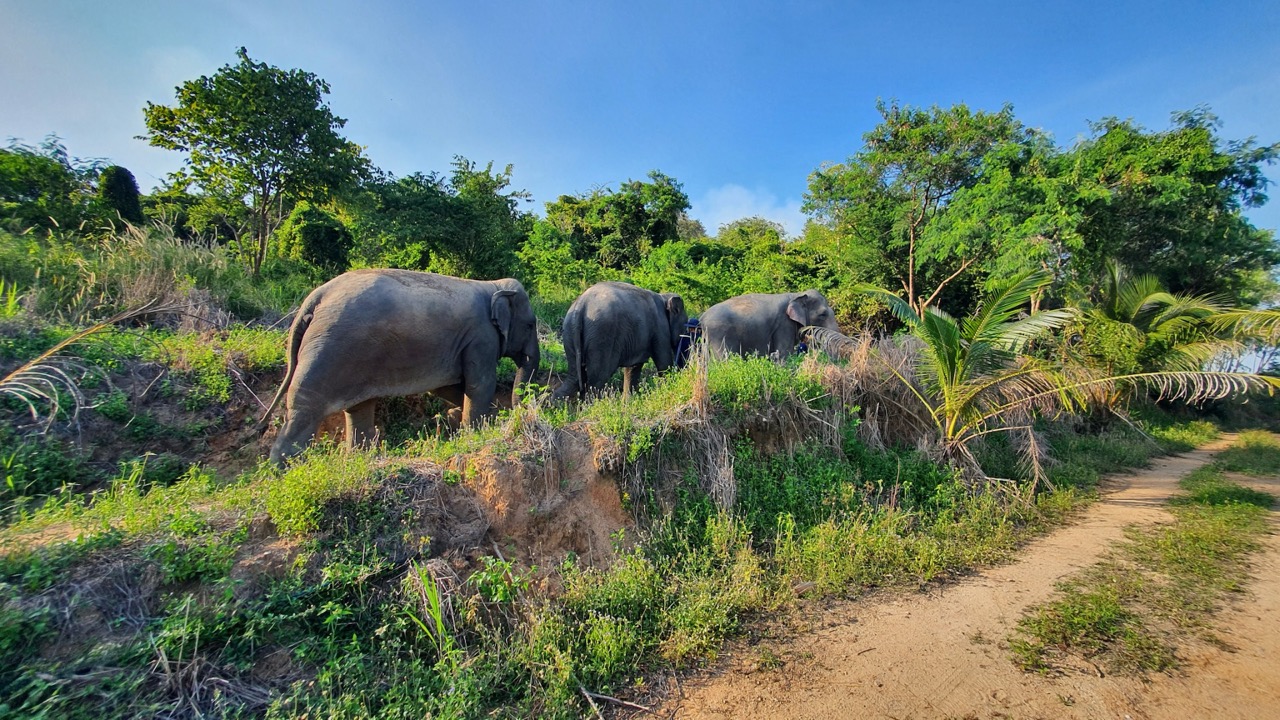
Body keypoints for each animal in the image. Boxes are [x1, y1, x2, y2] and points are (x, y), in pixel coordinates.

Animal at [259, 269, 540, 465]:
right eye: (530, 325)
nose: (518, 413)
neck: (493, 285)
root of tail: (316, 297)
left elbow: (448, 386)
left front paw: (469, 417)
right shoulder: (481, 337)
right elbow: (478, 384)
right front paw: (479, 428)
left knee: (358, 407)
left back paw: (359, 458)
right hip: (329, 350)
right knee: (306, 405)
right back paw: (283, 470)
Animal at [551, 281, 687, 400]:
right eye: (686, 328)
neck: (664, 297)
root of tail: (581, 305)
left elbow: (633, 368)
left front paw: (627, 403)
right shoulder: (660, 329)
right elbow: (664, 363)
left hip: (570, 332)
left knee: (574, 377)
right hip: (602, 336)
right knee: (598, 379)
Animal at [698, 289, 839, 359]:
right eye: (823, 314)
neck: (796, 294)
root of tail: (702, 317)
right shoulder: (784, 324)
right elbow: (784, 353)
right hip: (719, 334)